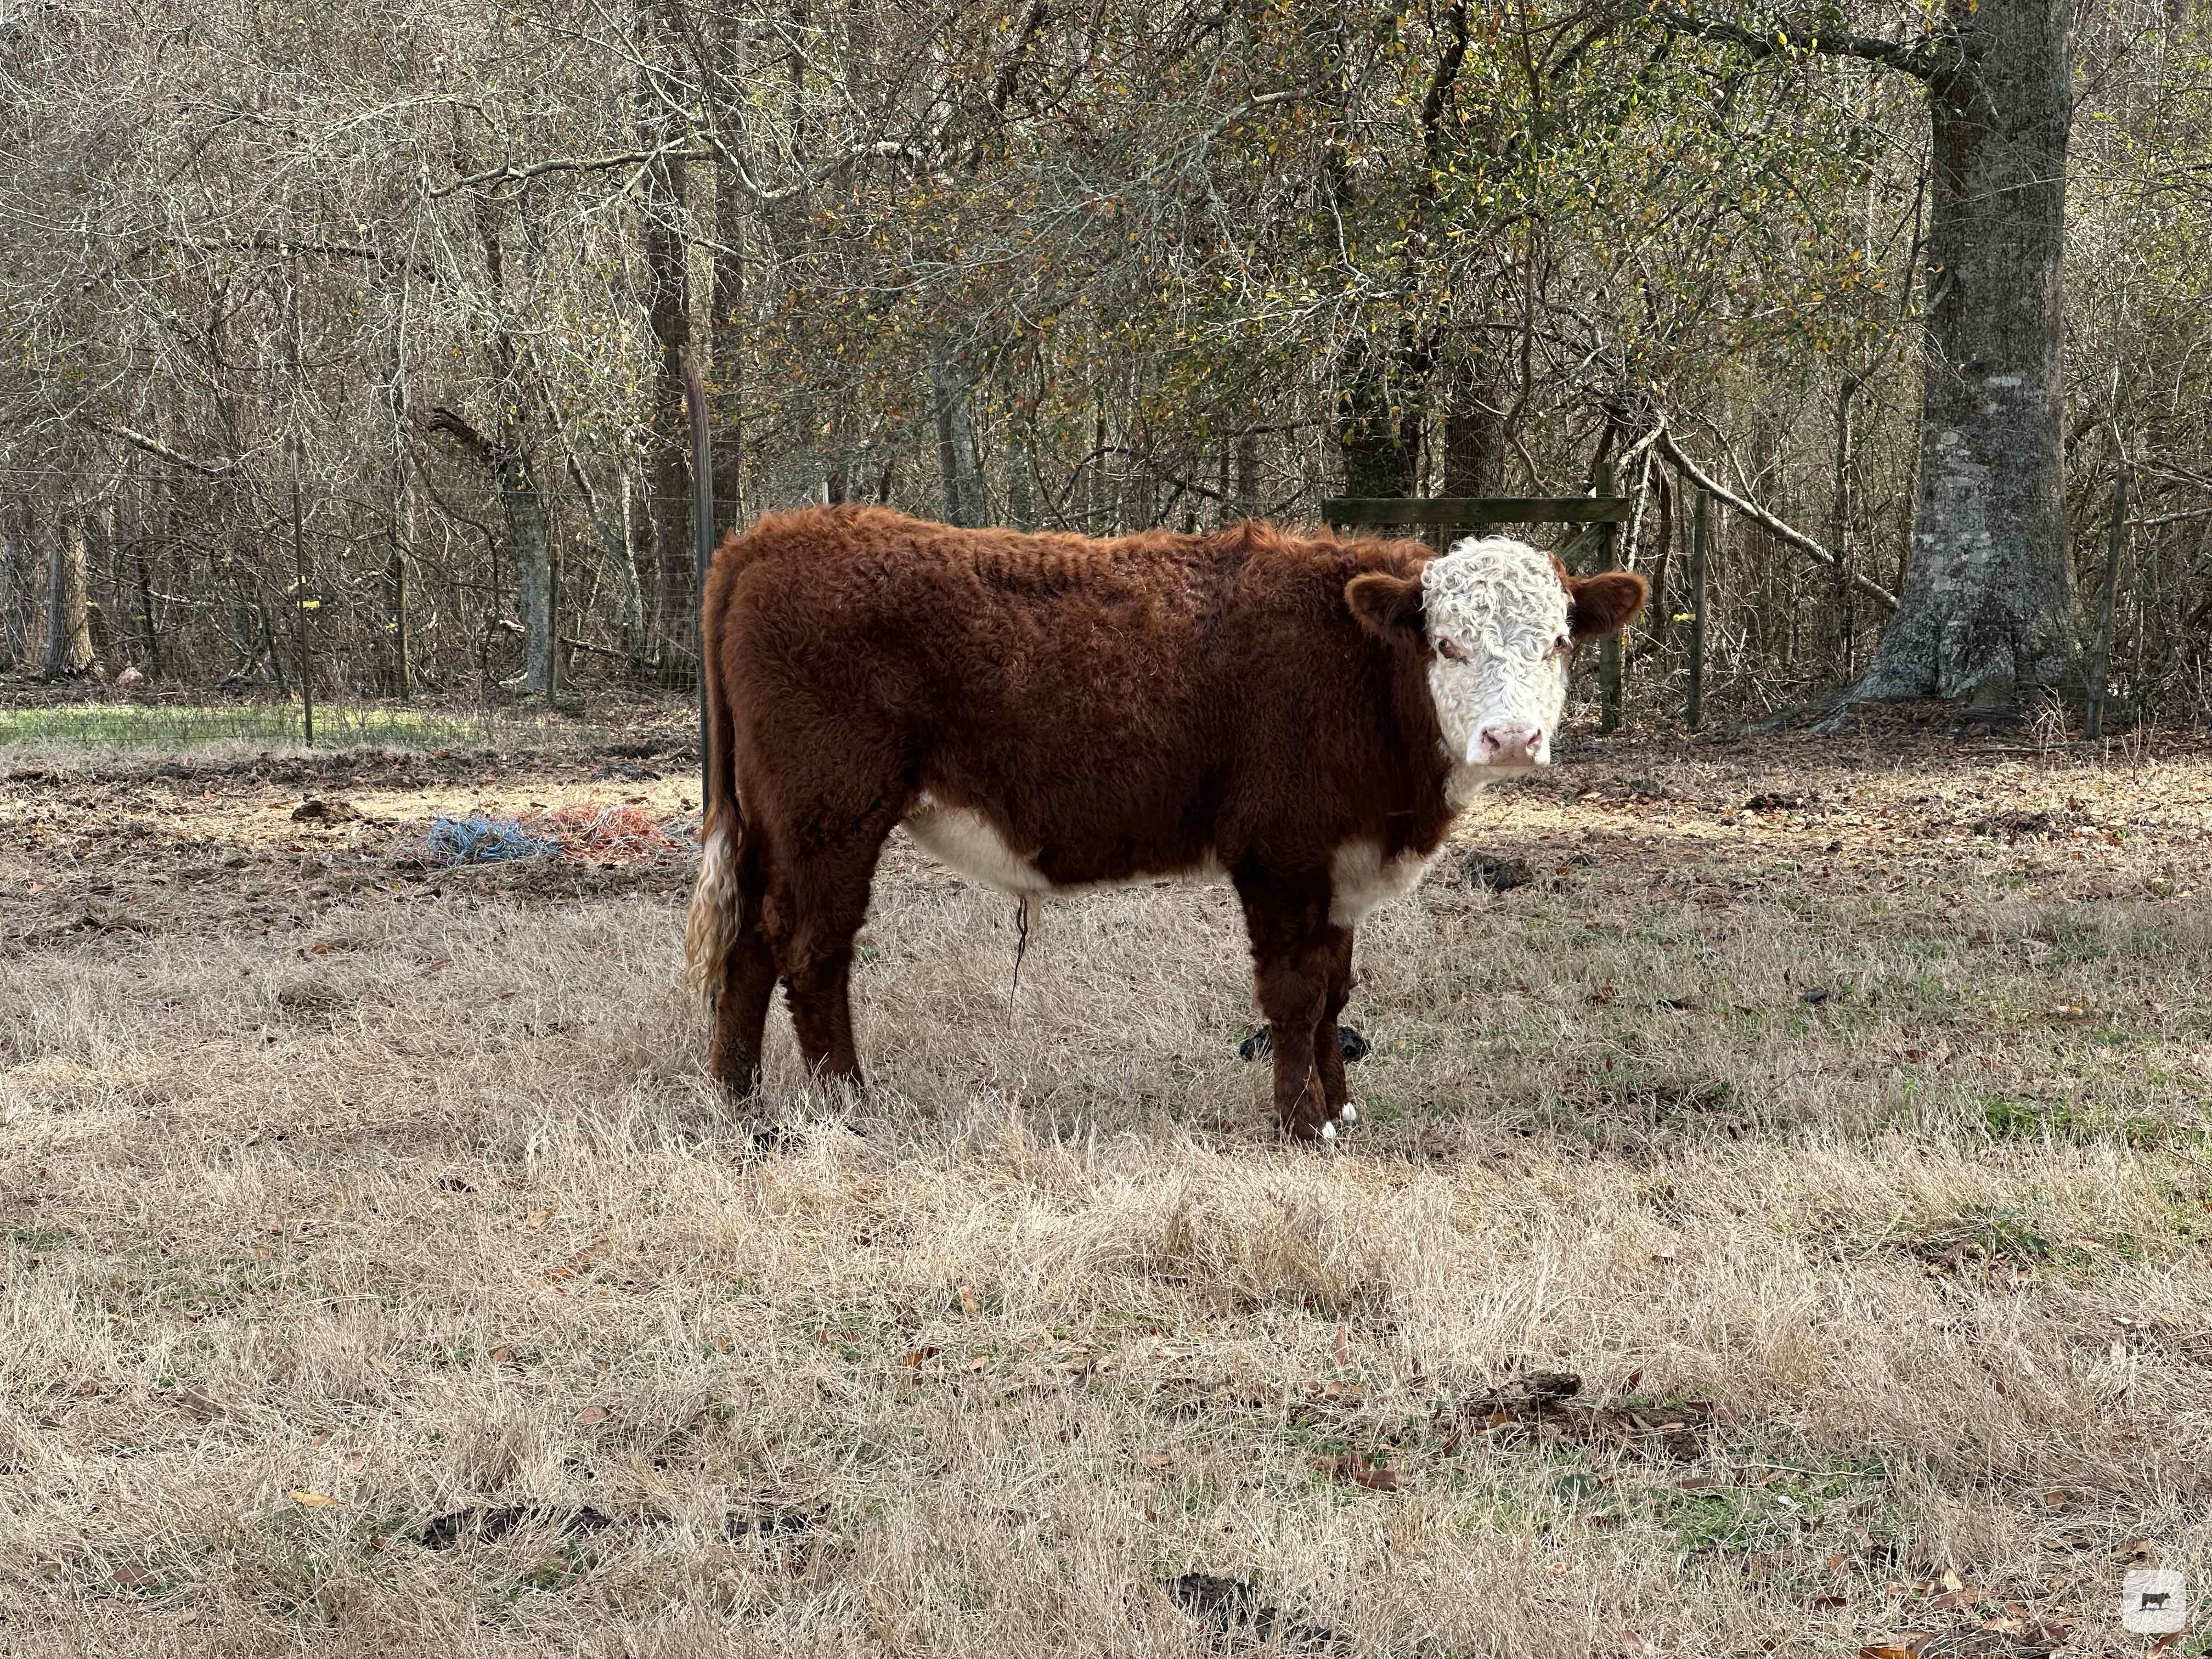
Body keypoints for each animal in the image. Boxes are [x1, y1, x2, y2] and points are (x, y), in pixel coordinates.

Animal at [684, 506, 1645, 1140]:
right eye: (1446, 644)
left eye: (1560, 641)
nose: (1512, 738)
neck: (1362, 675)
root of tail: (775, 534)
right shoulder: (1282, 853)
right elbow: (1296, 992)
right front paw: (1302, 1124)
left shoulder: (1340, 862)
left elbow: (1336, 991)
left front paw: (1340, 1106)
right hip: (831, 814)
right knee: (813, 949)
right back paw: (849, 1103)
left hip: (775, 824)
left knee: (750, 944)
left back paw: (736, 1100)